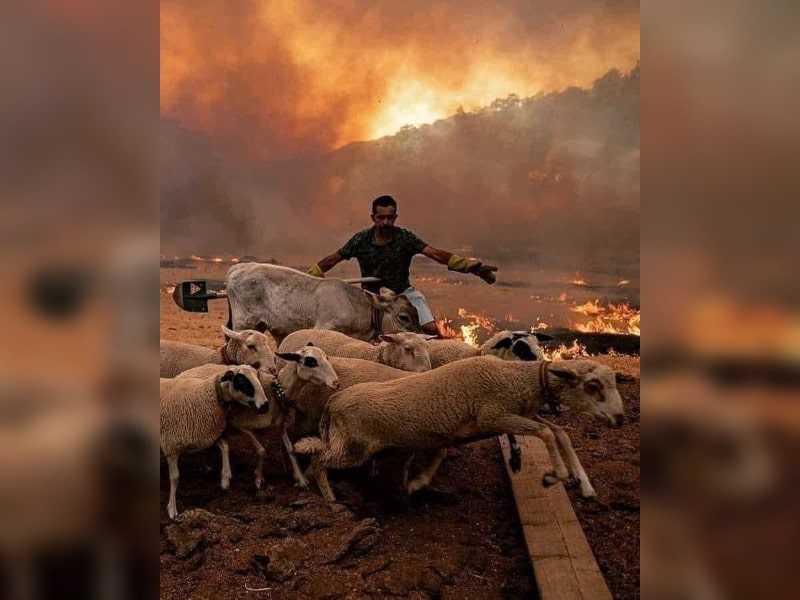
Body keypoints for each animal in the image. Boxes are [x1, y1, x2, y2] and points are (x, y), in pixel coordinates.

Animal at [160, 364, 268, 516]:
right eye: (241, 381)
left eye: (257, 377)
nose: (265, 405)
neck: (208, 395)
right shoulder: (171, 446)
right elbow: (175, 478)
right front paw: (172, 509)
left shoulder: (206, 434)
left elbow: (224, 446)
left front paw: (225, 479)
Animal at [296, 358, 624, 504]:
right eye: (592, 386)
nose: (620, 418)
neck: (516, 379)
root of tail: (335, 400)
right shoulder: (494, 416)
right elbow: (545, 433)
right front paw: (555, 476)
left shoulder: (510, 416)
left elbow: (559, 432)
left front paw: (583, 483)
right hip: (354, 447)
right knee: (318, 458)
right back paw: (330, 499)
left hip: (348, 443)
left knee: (316, 455)